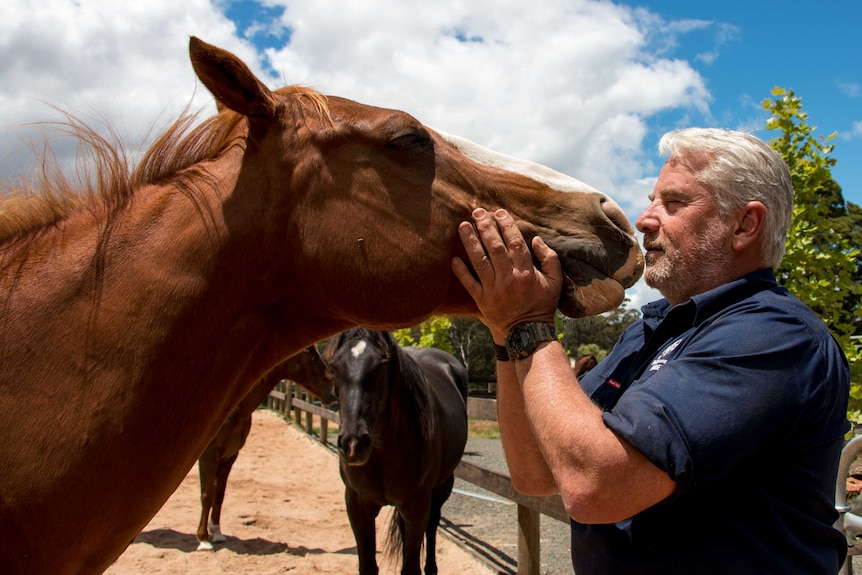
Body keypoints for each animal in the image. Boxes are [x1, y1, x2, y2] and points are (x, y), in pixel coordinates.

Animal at [196, 344, 334, 552]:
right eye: (313, 359)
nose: (332, 390)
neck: (234, 409)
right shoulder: (209, 455)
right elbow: (207, 494)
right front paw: (204, 540)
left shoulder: (229, 456)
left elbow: (219, 494)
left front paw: (217, 533)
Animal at [324, 328, 470, 575]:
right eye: (334, 366)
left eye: (382, 364)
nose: (353, 443)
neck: (383, 454)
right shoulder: (357, 504)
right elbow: (368, 566)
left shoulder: (417, 506)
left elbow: (411, 566)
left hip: (441, 487)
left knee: (432, 525)